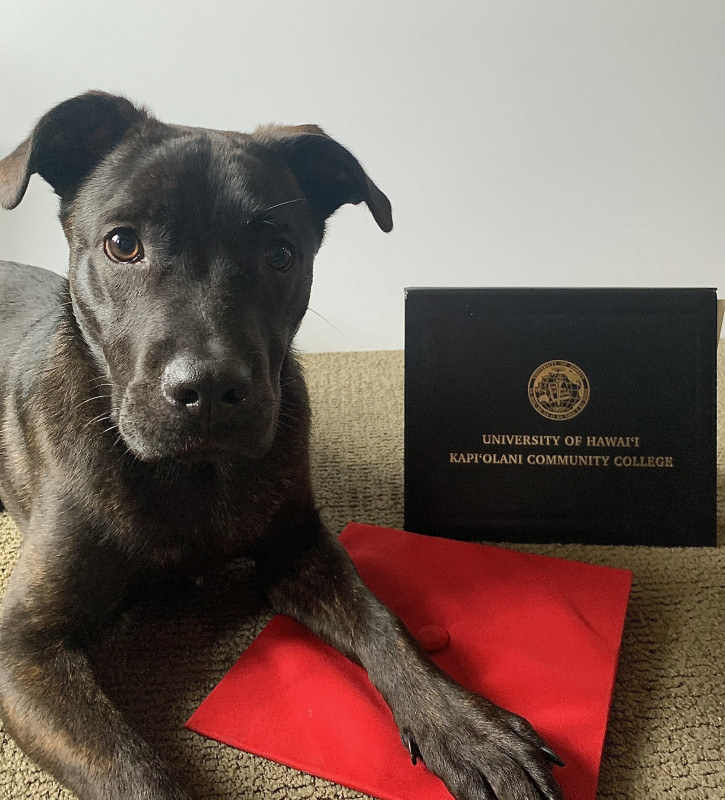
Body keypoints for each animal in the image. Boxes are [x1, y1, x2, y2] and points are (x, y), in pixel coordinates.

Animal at [0, 95, 564, 800]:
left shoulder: (302, 551)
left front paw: (465, 726)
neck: (194, 477)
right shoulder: (24, 646)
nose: (209, 391)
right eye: (122, 244)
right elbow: (135, 774)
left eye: (279, 254)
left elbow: (384, 623)